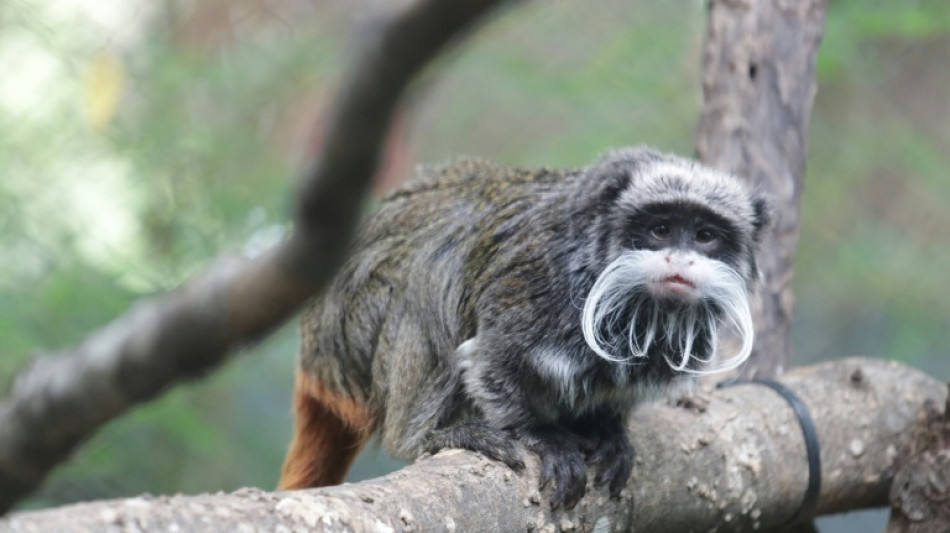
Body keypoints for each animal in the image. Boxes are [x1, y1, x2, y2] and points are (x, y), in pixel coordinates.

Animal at [278, 146, 769, 509]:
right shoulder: (536, 285)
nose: (681, 260)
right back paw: (428, 434)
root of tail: (313, 355)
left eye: (705, 236)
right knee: (430, 275)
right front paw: (542, 437)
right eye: (660, 229)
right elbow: (489, 363)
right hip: (351, 334)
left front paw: (609, 431)